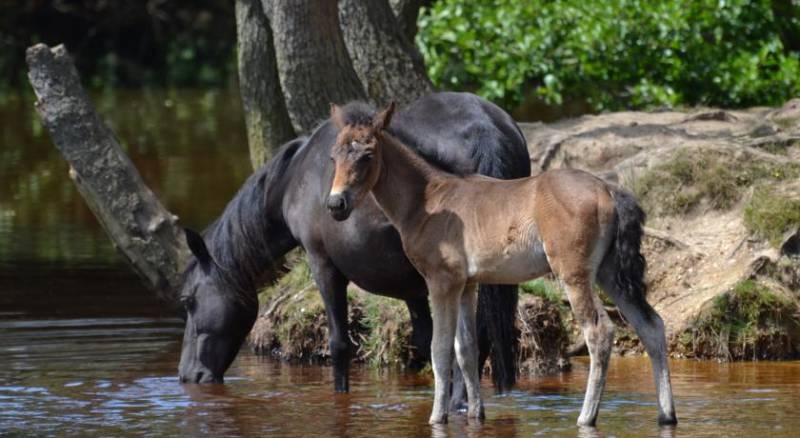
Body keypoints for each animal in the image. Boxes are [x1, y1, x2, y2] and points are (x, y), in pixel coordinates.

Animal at [180, 92, 532, 394]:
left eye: (187, 301)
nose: (187, 375)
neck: (295, 178)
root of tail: (484, 129)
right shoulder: (411, 285)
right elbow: (425, 339)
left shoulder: (322, 262)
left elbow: (339, 344)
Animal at [324, 101, 676, 426]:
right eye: (333, 157)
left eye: (367, 155)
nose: (336, 204)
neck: (427, 202)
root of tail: (608, 188)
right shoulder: (466, 285)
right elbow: (466, 349)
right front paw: (475, 413)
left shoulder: (440, 282)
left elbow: (440, 349)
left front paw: (437, 417)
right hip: (610, 274)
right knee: (651, 326)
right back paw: (667, 415)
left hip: (574, 273)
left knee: (599, 332)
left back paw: (586, 417)